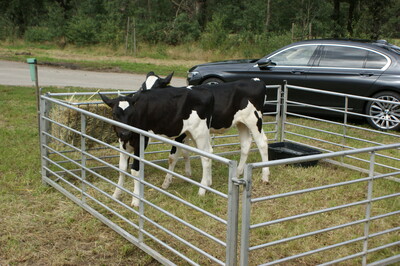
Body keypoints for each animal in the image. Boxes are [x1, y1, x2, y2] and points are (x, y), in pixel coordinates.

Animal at [142, 71, 270, 187]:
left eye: (158, 88)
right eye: (143, 87)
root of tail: (255, 80)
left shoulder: (181, 133)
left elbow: (172, 157)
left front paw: (166, 183)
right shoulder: (187, 132)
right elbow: (186, 153)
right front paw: (188, 174)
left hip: (254, 120)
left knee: (262, 143)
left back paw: (265, 177)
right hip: (241, 123)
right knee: (246, 143)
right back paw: (238, 173)